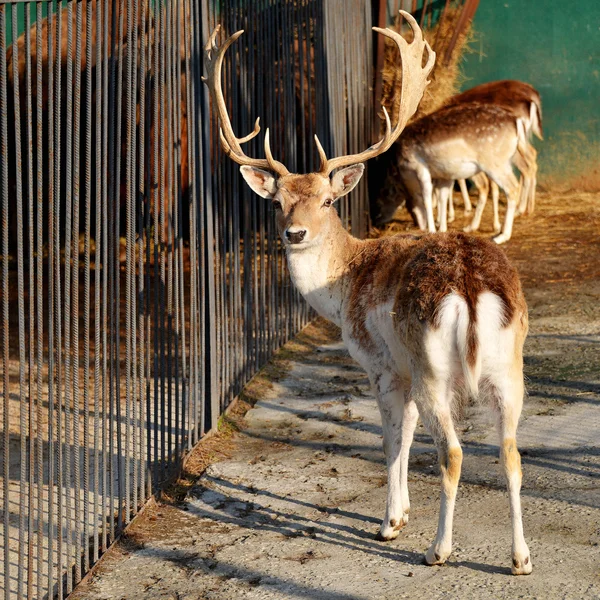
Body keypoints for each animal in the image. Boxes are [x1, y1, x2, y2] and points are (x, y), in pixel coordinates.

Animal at [204, 10, 532, 576]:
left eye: (328, 201)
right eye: (278, 202)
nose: (295, 233)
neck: (343, 288)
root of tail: (470, 287)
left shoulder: (382, 364)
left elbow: (392, 439)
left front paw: (390, 523)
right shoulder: (401, 369)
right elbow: (407, 434)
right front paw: (400, 513)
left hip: (433, 366)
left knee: (453, 453)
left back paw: (438, 550)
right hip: (509, 366)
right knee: (510, 452)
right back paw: (520, 559)